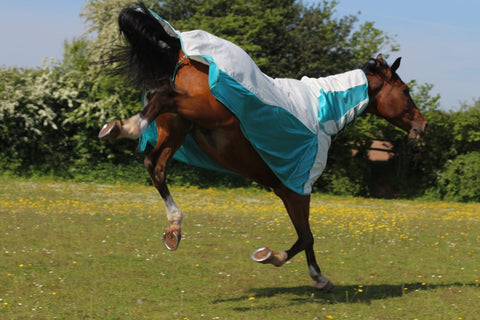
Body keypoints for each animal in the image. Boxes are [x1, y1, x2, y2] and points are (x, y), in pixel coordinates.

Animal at [98, 3, 428, 292]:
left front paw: (308, 273)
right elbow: (306, 237)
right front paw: (282, 262)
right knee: (162, 101)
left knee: (155, 164)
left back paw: (173, 228)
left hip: (179, 126)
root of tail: (182, 50)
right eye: (405, 90)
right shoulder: (298, 189)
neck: (323, 111)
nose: (422, 125)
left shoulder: (284, 190)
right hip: (203, 111)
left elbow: (305, 235)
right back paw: (125, 127)